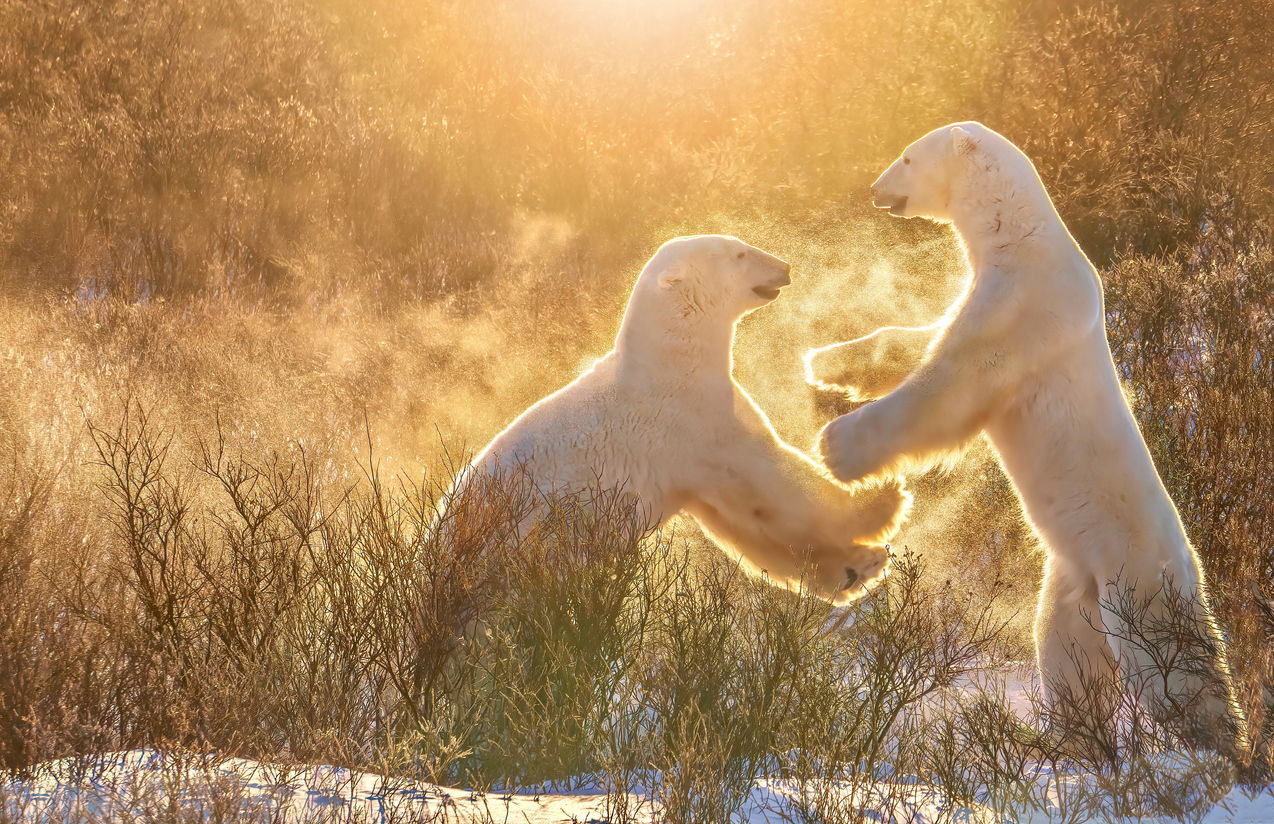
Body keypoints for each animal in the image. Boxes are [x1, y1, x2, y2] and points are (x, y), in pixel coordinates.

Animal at [456, 235, 907, 603]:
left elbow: (743, 524)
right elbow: (772, 482)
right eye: (739, 252)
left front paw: (858, 567)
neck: (670, 361)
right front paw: (882, 499)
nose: (786, 267)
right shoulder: (693, 422)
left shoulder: (690, 468)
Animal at [810, 122, 1248, 759]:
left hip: (1136, 579)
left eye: (909, 156)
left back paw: (1217, 750)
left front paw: (836, 446)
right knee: (1068, 658)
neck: (1021, 237)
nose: (875, 189)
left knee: (1171, 669)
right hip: (1073, 580)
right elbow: (920, 340)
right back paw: (1074, 746)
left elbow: (950, 385)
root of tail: (1192, 568)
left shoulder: (1021, 308)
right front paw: (826, 360)